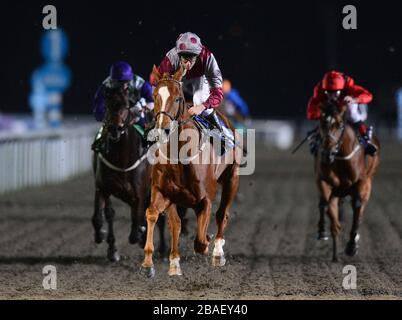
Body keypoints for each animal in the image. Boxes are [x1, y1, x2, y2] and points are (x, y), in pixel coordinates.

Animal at [91, 86, 168, 262]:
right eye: (108, 105)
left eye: (126, 105)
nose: (115, 128)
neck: (122, 160)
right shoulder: (102, 187)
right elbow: (101, 216)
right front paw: (105, 240)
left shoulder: (140, 192)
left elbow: (136, 225)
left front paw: (140, 234)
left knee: (159, 217)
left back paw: (162, 249)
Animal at [141, 65, 240, 278]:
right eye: (155, 96)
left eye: (178, 98)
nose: (161, 130)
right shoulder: (165, 193)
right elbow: (161, 217)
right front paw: (154, 263)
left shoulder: (205, 199)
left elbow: (200, 241)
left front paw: (208, 244)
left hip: (232, 179)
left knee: (222, 214)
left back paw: (218, 252)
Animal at [314, 104, 380, 262]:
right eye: (321, 124)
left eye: (340, 125)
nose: (328, 153)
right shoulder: (324, 182)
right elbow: (326, 206)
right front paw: (324, 231)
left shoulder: (362, 182)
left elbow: (357, 207)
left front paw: (351, 246)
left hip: (368, 182)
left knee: (360, 209)